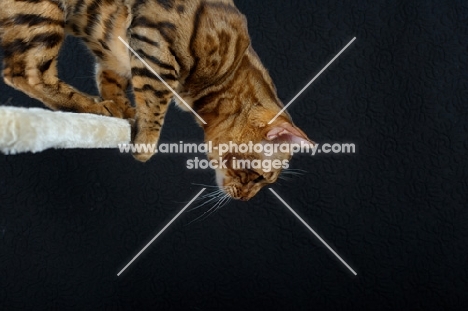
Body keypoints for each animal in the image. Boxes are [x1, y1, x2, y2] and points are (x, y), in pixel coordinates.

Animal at [0, 1, 314, 201]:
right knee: (26, 73)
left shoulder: (116, 52)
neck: (230, 68)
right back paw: (91, 107)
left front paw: (124, 109)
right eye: (260, 176)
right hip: (41, 16)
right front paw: (144, 143)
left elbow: (112, 79)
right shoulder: (154, 44)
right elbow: (154, 100)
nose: (246, 199)